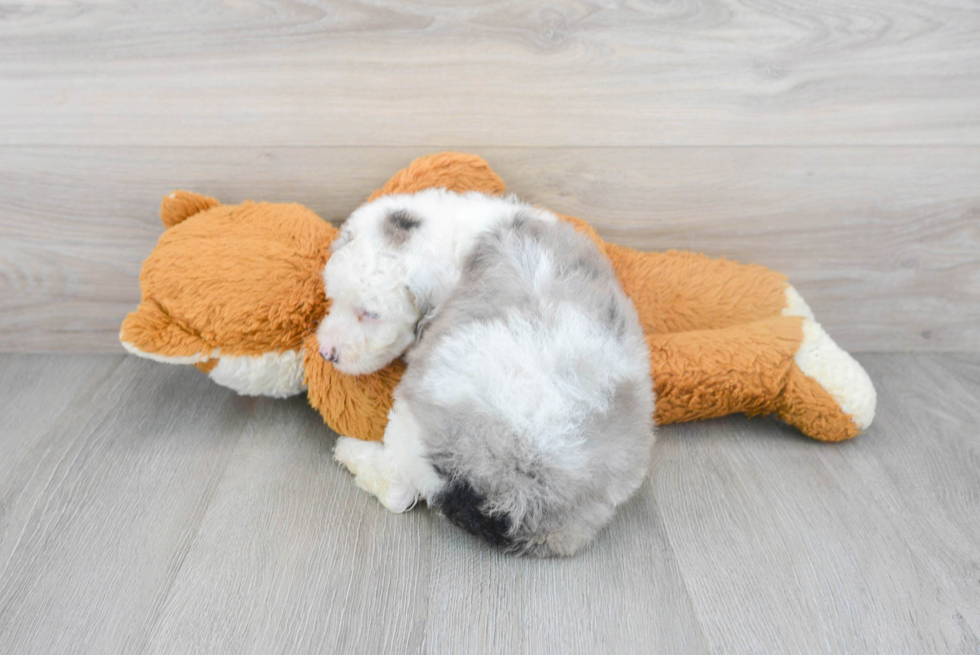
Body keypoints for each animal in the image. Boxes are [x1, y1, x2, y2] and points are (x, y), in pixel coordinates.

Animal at [322, 191, 656, 560]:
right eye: (332, 298)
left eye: (371, 314)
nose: (326, 353)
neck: (455, 235)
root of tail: (522, 501)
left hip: (423, 414)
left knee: (398, 489)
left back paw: (350, 452)